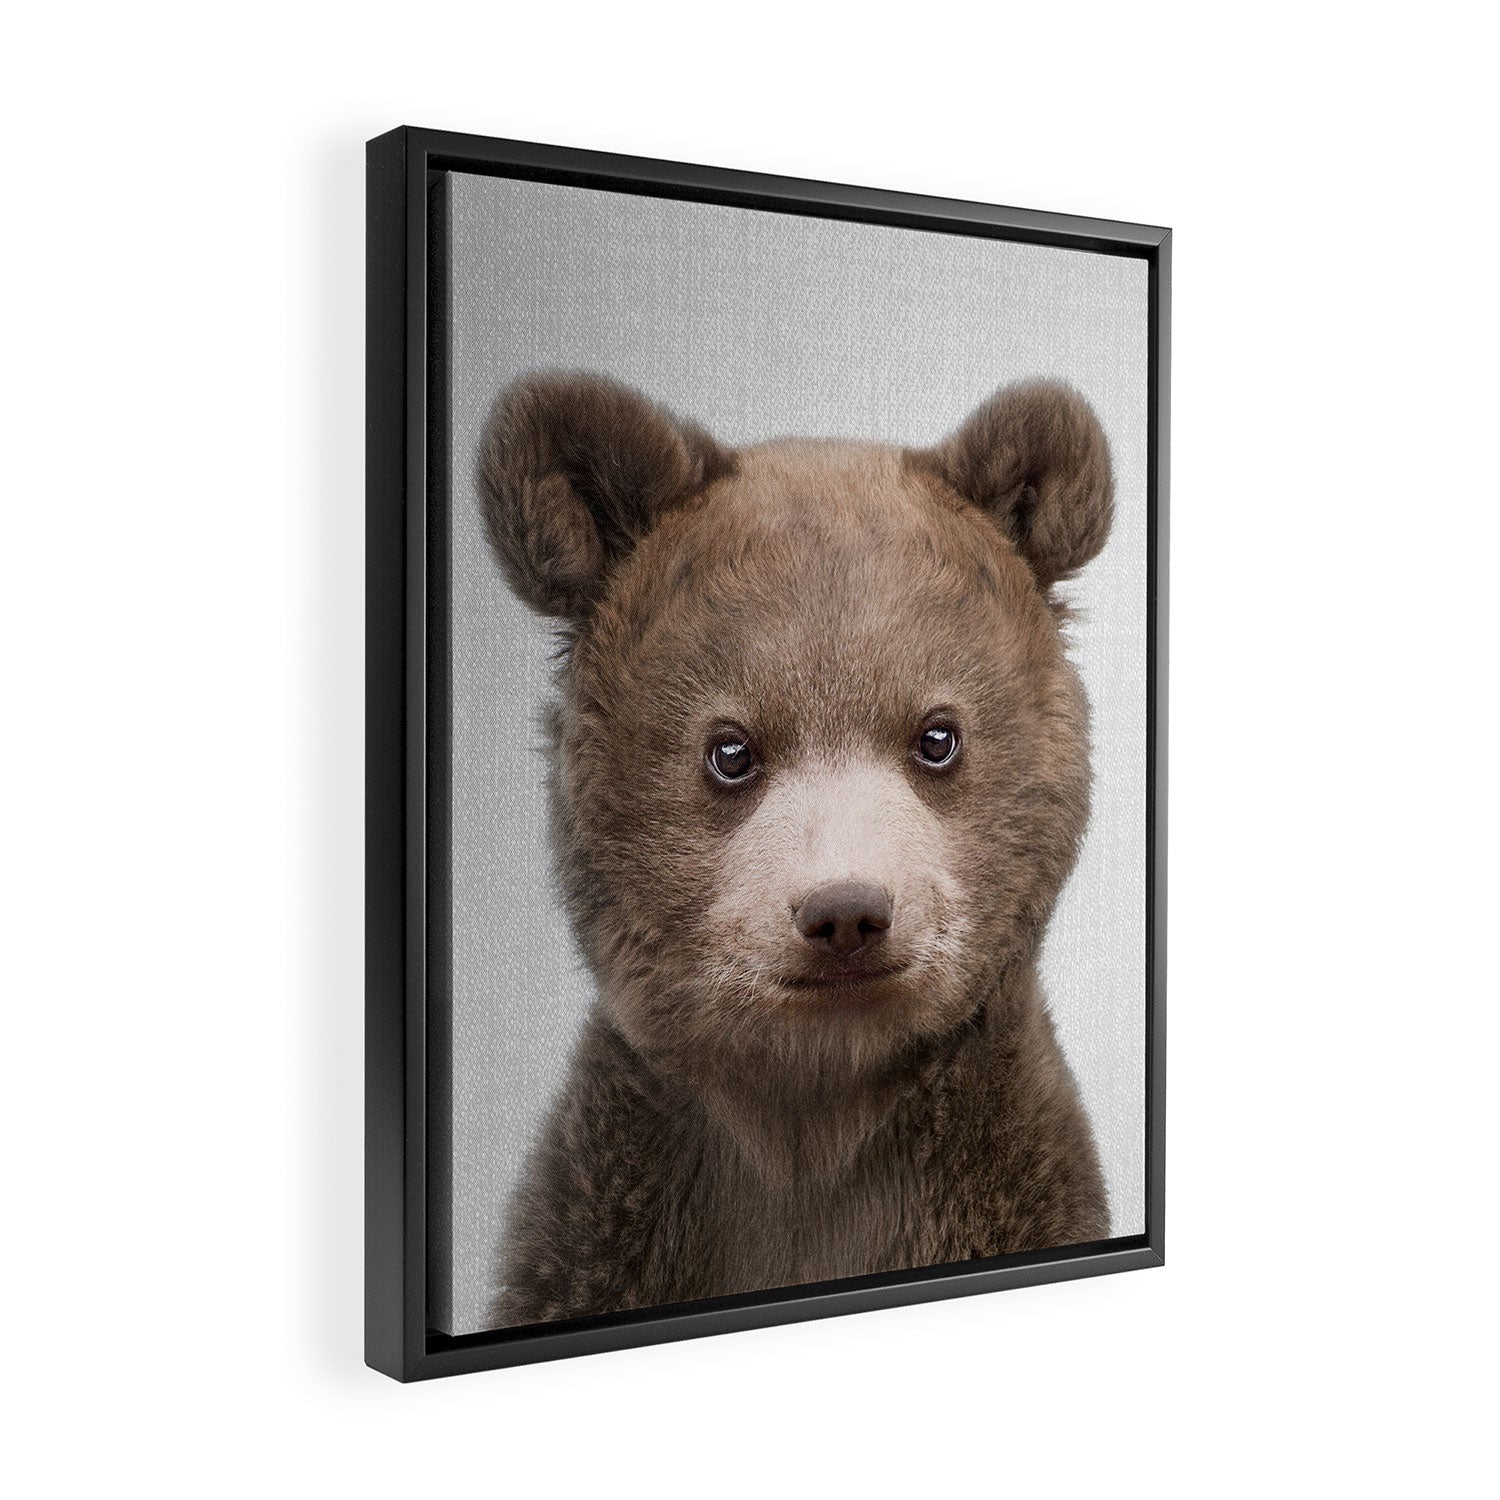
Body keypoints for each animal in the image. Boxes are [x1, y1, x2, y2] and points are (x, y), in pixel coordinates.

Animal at [476, 371, 1114, 1327]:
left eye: (937, 736)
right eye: (730, 749)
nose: (846, 913)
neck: (811, 1121)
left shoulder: (1003, 1182)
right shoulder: (610, 1224)